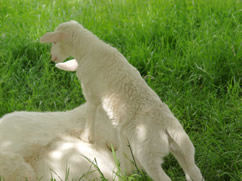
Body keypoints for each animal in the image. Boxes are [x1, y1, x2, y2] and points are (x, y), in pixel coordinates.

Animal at [39, 20, 204, 181]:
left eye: (54, 42)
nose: (52, 58)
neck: (88, 48)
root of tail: (165, 127)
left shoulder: (91, 94)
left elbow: (90, 115)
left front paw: (86, 138)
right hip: (184, 147)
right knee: (193, 170)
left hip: (148, 152)